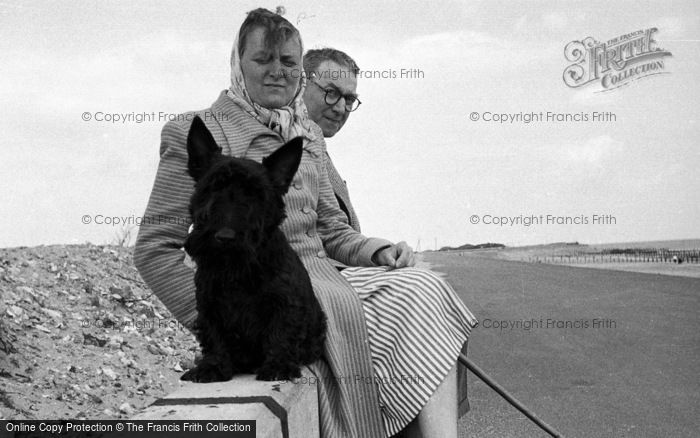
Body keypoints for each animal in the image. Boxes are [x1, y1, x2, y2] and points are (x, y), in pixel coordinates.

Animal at [178, 116, 326, 384]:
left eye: (255, 193)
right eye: (212, 188)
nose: (224, 237)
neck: (236, 269)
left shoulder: (284, 304)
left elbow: (281, 332)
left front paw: (278, 366)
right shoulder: (209, 307)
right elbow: (215, 338)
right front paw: (212, 367)